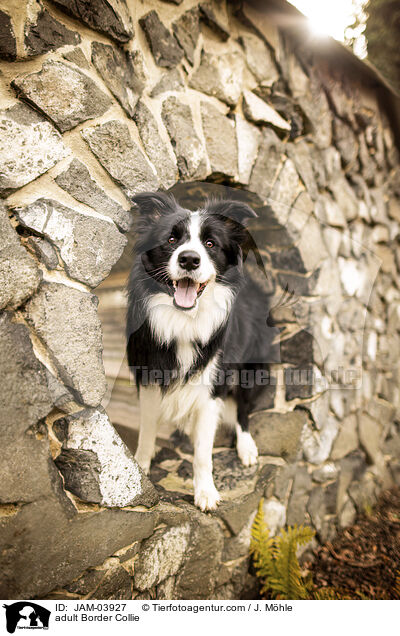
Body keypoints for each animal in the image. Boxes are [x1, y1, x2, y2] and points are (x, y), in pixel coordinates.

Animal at [126, 190, 274, 512]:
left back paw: (246, 447)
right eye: (171, 239)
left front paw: (205, 491)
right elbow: (146, 428)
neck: (184, 320)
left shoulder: (211, 389)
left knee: (243, 412)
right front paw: (140, 466)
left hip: (253, 371)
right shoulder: (148, 377)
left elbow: (203, 453)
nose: (189, 259)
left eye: (210, 244)